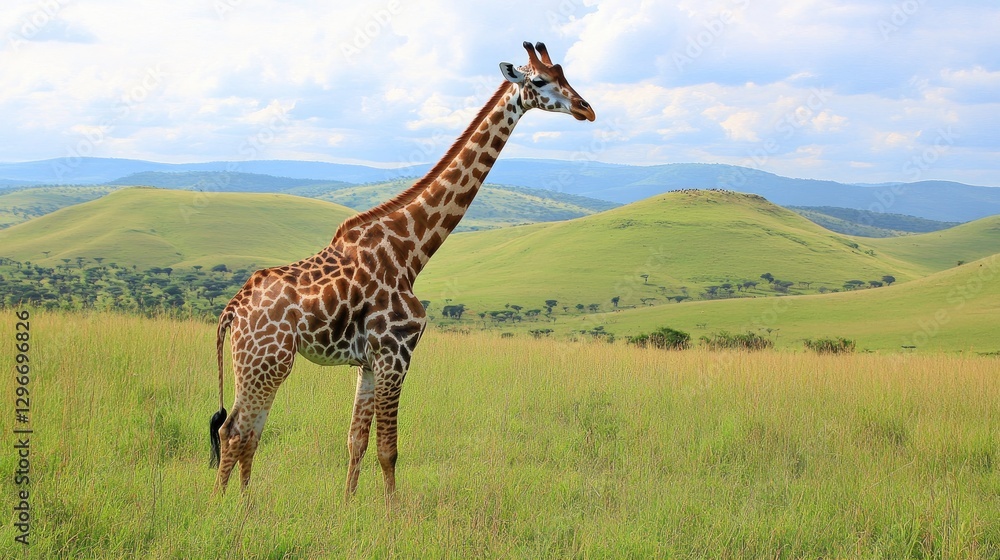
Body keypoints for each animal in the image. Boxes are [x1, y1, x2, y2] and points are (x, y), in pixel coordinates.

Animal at [208, 41, 595, 501]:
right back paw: (221, 510)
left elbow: (356, 441)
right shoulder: (396, 353)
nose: (587, 109)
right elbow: (388, 449)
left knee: (246, 432)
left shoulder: (368, 363)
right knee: (235, 432)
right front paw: (393, 514)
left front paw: (347, 506)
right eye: (539, 80)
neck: (410, 251)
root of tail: (231, 310)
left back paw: (246, 507)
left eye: (564, 73)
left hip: (260, 362)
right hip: (266, 361)